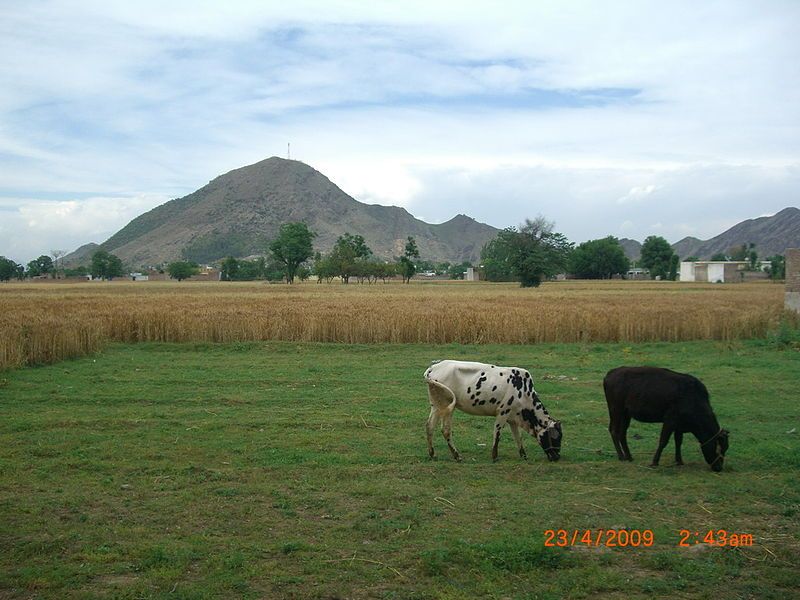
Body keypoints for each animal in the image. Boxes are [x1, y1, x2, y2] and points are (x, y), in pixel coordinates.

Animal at [424, 358, 564, 462]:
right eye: (556, 437)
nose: (557, 457)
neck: (524, 393)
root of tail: (433, 368)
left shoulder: (512, 417)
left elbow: (517, 436)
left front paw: (523, 455)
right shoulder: (503, 412)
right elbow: (497, 434)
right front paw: (495, 456)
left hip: (436, 406)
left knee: (430, 426)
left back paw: (432, 454)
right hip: (448, 407)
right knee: (446, 430)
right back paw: (457, 456)